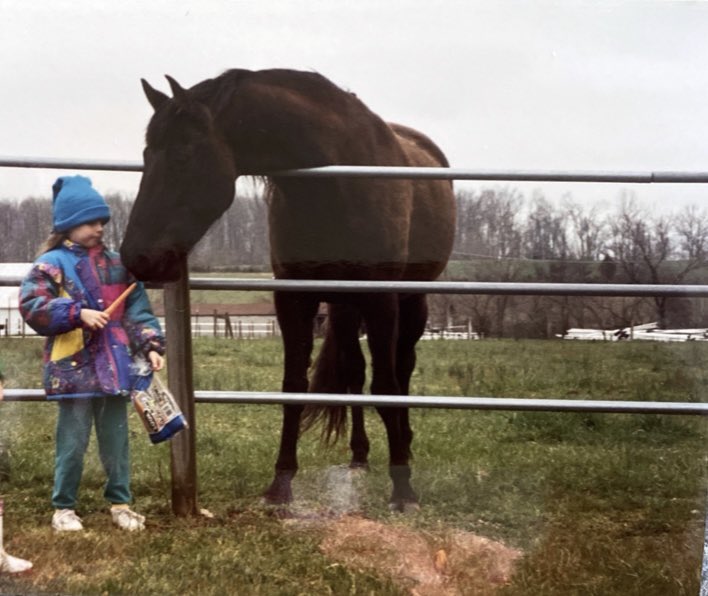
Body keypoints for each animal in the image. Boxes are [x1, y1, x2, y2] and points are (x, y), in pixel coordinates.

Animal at [119, 67, 456, 510]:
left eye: (183, 155)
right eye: (146, 156)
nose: (136, 257)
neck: (336, 182)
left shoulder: (381, 298)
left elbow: (387, 387)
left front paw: (403, 487)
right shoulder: (294, 297)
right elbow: (294, 387)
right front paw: (281, 482)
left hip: (410, 302)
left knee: (401, 371)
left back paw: (405, 446)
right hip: (345, 308)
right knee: (354, 372)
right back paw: (360, 454)